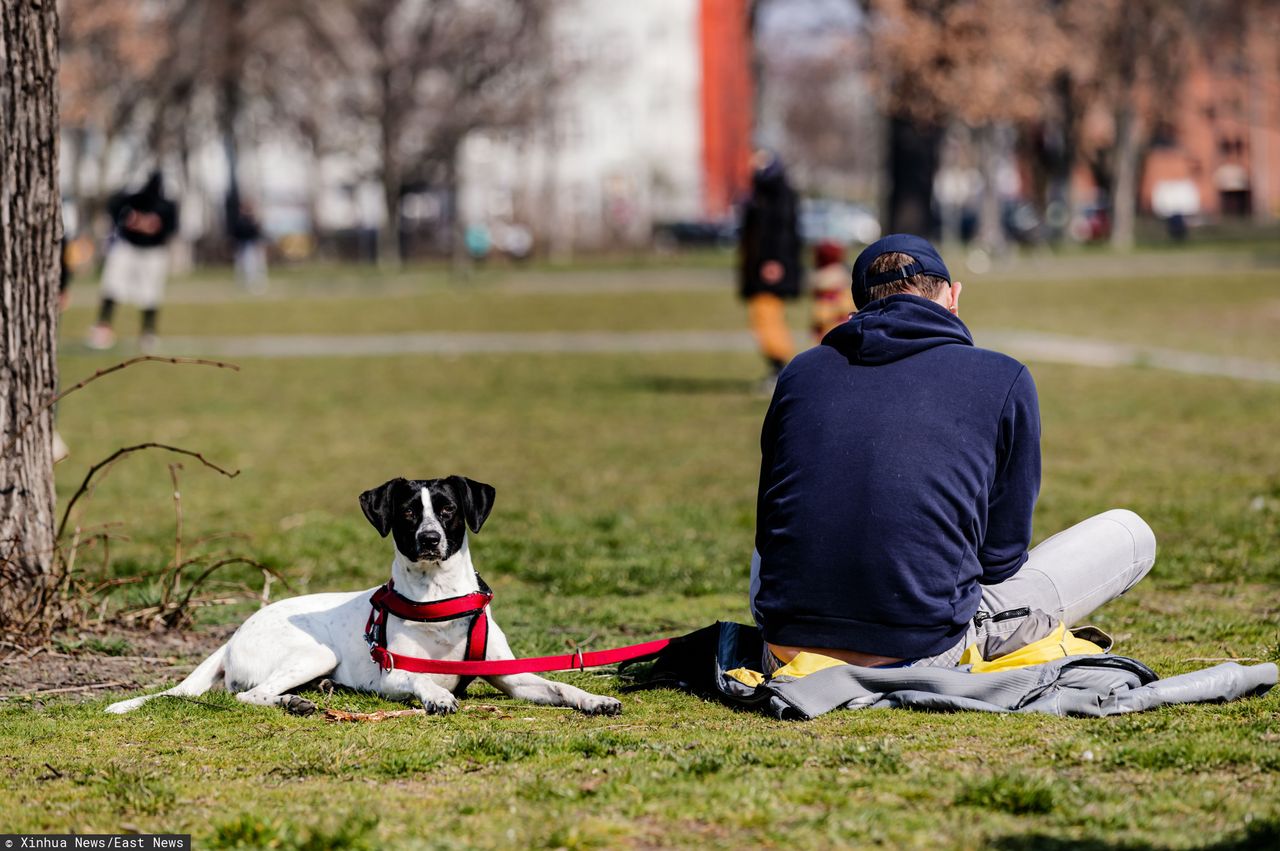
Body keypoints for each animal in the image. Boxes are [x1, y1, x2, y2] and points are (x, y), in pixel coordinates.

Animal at [108, 478, 624, 716]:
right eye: (409, 512)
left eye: (448, 510)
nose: (430, 539)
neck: (438, 600)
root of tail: (233, 636)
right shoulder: (391, 676)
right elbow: (421, 678)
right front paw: (438, 695)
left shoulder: (512, 679)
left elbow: (560, 686)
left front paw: (595, 698)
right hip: (315, 652)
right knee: (250, 695)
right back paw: (295, 702)